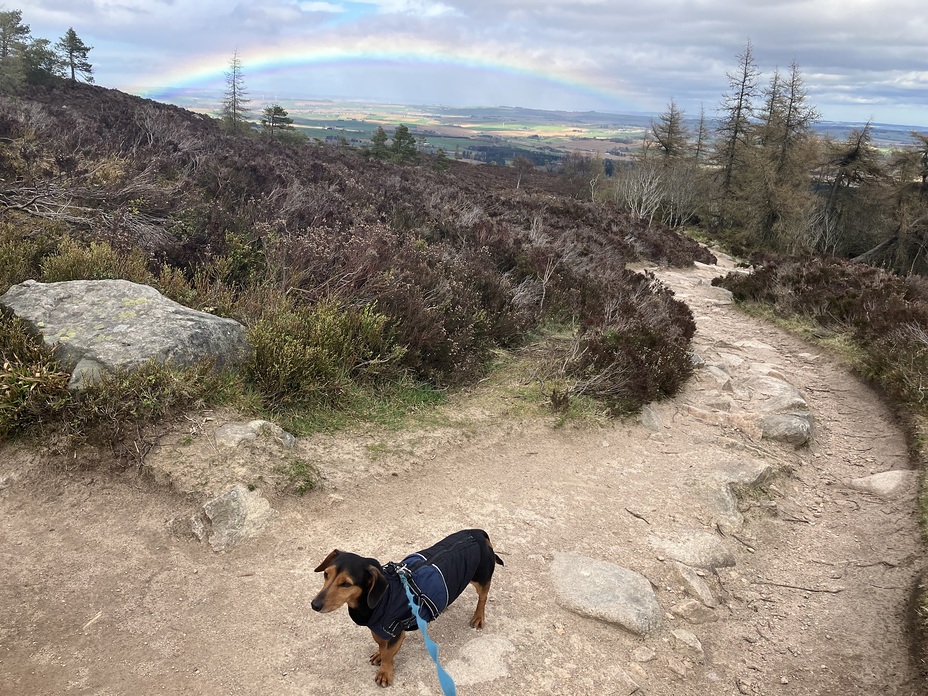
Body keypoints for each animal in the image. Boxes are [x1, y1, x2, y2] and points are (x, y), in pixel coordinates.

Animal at [312, 532, 504, 688]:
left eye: (346, 584)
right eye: (326, 574)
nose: (315, 605)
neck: (384, 597)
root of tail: (478, 534)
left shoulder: (396, 630)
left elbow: (389, 653)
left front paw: (385, 672)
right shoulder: (379, 628)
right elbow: (381, 644)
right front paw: (379, 654)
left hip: (481, 578)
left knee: (483, 597)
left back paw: (478, 617)